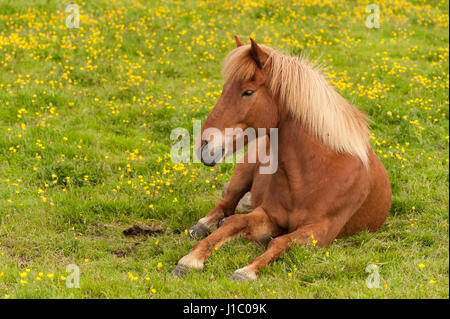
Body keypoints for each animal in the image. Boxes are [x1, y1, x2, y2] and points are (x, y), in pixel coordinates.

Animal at [174, 37, 392, 282]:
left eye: (248, 92)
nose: (203, 145)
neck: (317, 173)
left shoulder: (319, 231)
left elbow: (280, 242)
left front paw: (245, 271)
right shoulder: (269, 215)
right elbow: (234, 222)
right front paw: (190, 260)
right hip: (243, 172)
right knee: (226, 204)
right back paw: (204, 224)